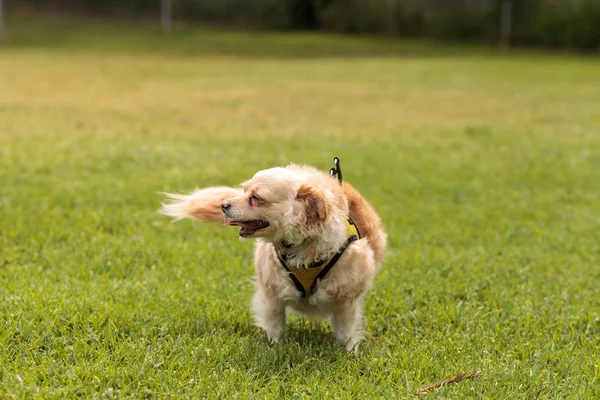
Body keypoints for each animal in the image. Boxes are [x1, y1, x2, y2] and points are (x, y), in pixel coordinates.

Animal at [161, 159, 384, 350]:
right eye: (244, 191)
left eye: (256, 198)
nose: (223, 205)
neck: (300, 248)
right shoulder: (272, 293)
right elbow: (275, 325)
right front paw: (275, 348)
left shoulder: (347, 300)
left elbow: (346, 331)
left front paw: (348, 352)